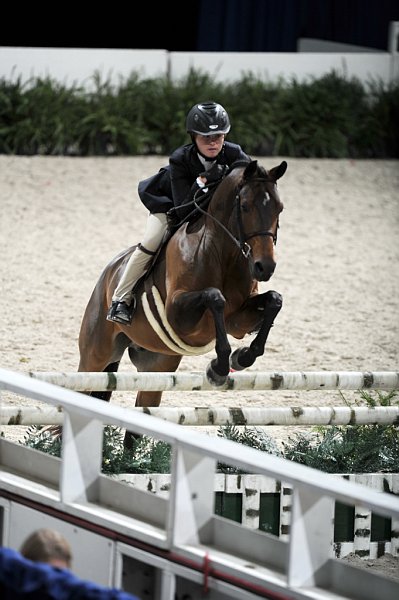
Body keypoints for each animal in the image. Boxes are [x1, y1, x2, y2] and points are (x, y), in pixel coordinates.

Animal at [77, 159, 288, 420]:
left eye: (279, 208)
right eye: (245, 206)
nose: (264, 267)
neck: (223, 254)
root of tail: (108, 273)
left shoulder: (237, 322)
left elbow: (274, 300)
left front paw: (242, 357)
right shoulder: (177, 315)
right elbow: (214, 296)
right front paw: (218, 368)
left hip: (156, 367)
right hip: (94, 357)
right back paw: (119, 309)